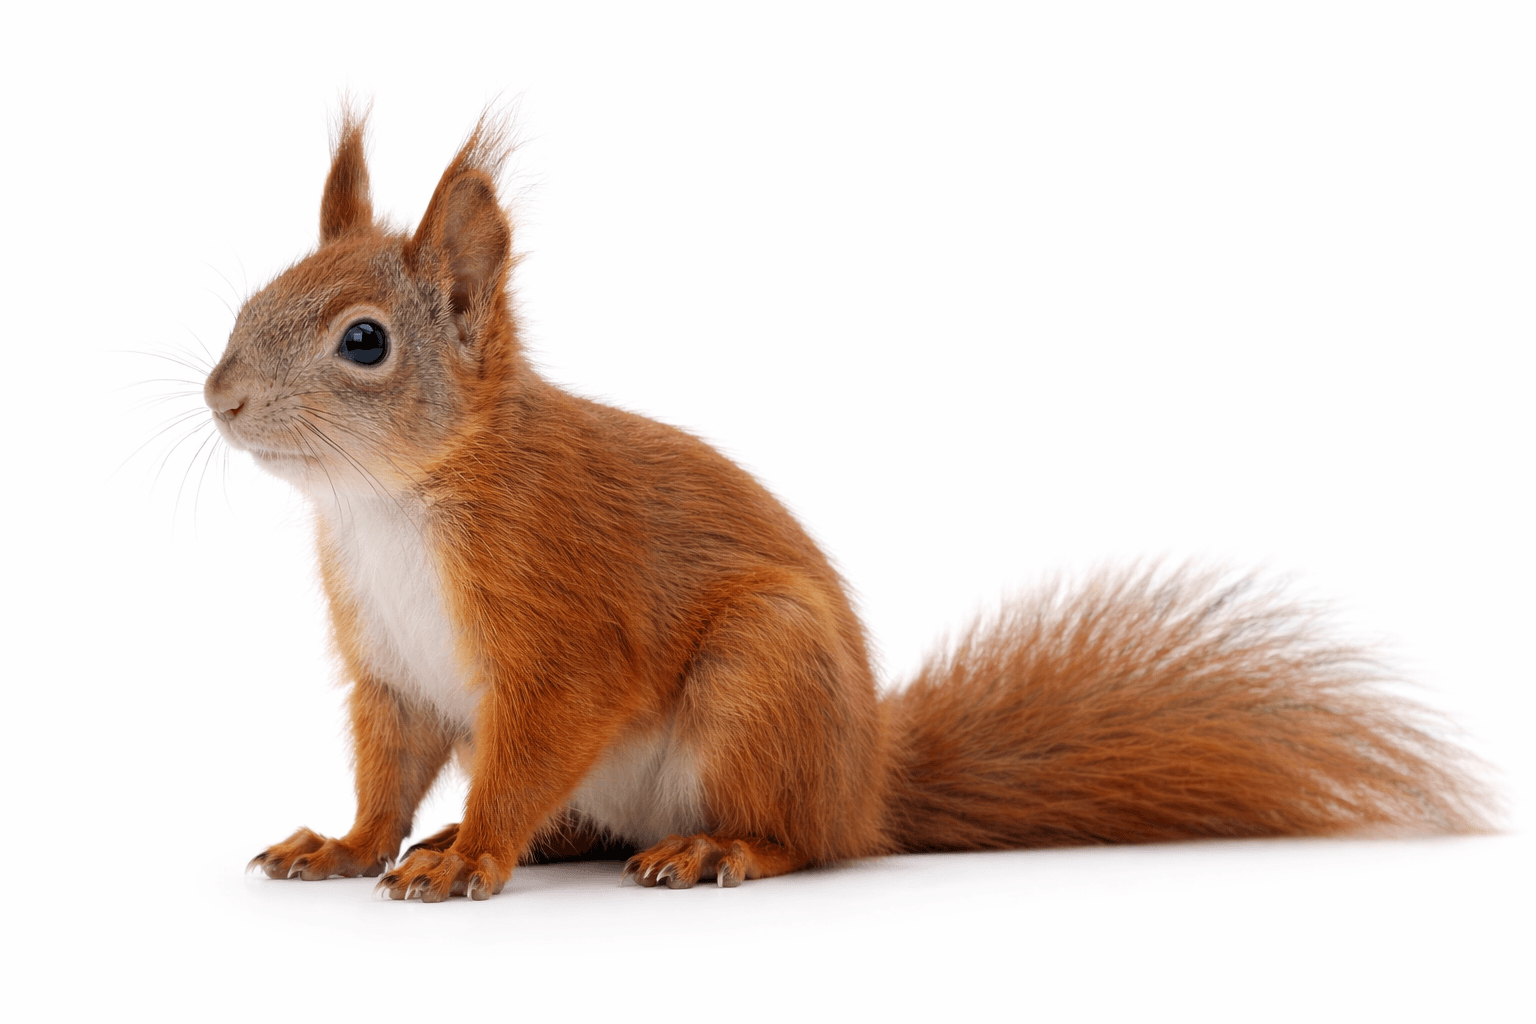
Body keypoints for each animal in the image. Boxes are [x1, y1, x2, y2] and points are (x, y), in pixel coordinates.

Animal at [210, 110, 1489, 902]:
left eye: (363, 343)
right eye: (255, 293)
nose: (221, 398)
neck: (387, 506)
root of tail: (867, 781)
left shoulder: (558, 629)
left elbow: (529, 750)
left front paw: (470, 855)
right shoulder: (392, 672)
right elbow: (387, 772)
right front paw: (353, 845)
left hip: (763, 679)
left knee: (800, 843)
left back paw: (710, 847)